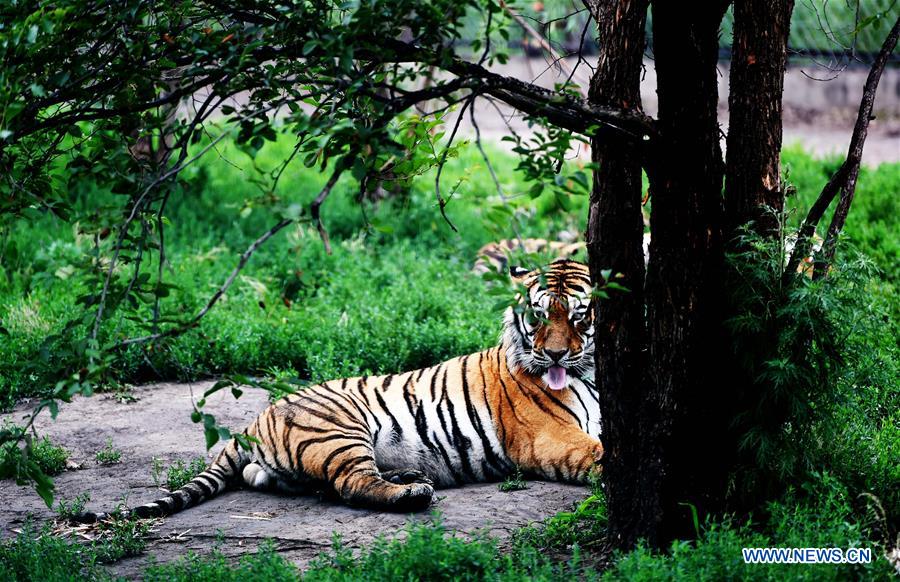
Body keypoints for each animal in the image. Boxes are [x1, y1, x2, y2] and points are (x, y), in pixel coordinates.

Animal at [81, 260, 604, 520]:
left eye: (579, 316)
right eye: (539, 316)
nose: (555, 355)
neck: (594, 373)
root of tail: (253, 420)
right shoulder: (550, 436)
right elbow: (598, 453)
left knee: (301, 482)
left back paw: (408, 477)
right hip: (338, 429)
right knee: (351, 484)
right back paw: (412, 494)